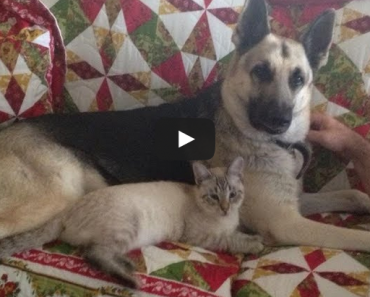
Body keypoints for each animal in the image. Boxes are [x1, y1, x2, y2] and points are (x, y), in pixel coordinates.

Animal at [0, 0, 370, 250]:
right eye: (261, 72)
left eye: (298, 79)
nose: (280, 121)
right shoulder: (288, 223)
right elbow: (353, 236)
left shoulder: (295, 202)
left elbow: (353, 192)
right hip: (58, 193)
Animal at [0, 157, 264, 286]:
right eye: (214, 197)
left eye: (233, 195)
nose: (225, 208)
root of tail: (65, 211)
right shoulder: (200, 237)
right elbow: (233, 240)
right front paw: (257, 243)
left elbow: (238, 232)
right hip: (127, 226)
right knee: (94, 253)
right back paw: (130, 279)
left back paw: (127, 266)